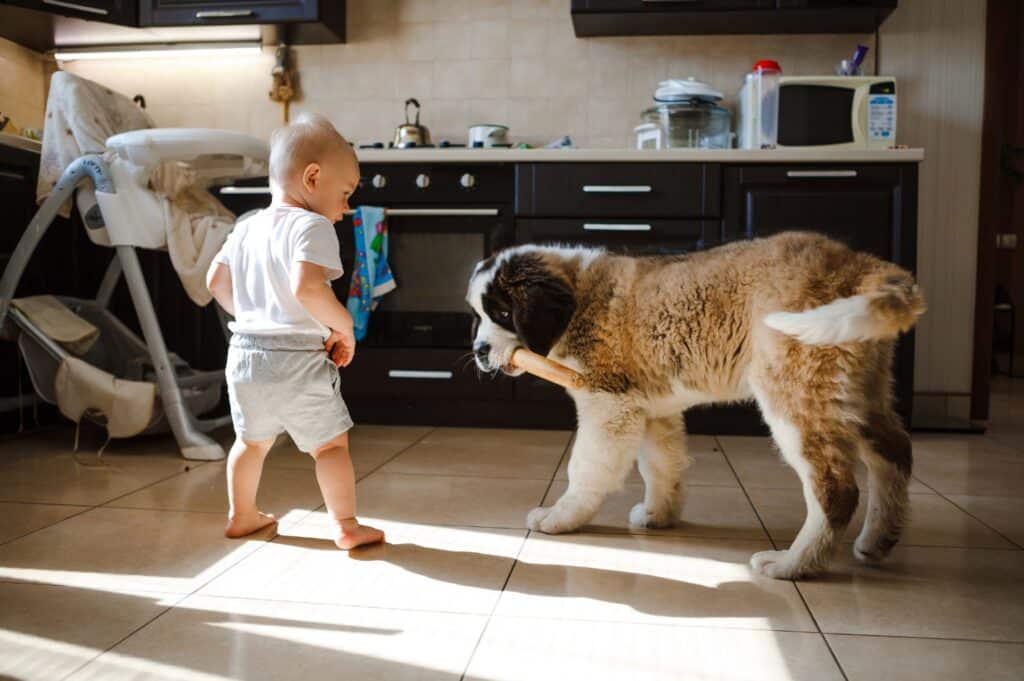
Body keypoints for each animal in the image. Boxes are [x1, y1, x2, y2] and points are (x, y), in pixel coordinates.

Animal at [468, 231, 925, 577]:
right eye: (477, 316)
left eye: (504, 313)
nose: (478, 351)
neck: (580, 294)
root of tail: (857, 264)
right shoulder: (653, 408)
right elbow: (660, 464)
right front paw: (660, 514)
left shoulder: (607, 403)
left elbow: (586, 467)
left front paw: (560, 517)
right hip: (856, 390)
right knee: (894, 452)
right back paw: (877, 540)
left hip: (797, 394)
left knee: (836, 489)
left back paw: (793, 565)